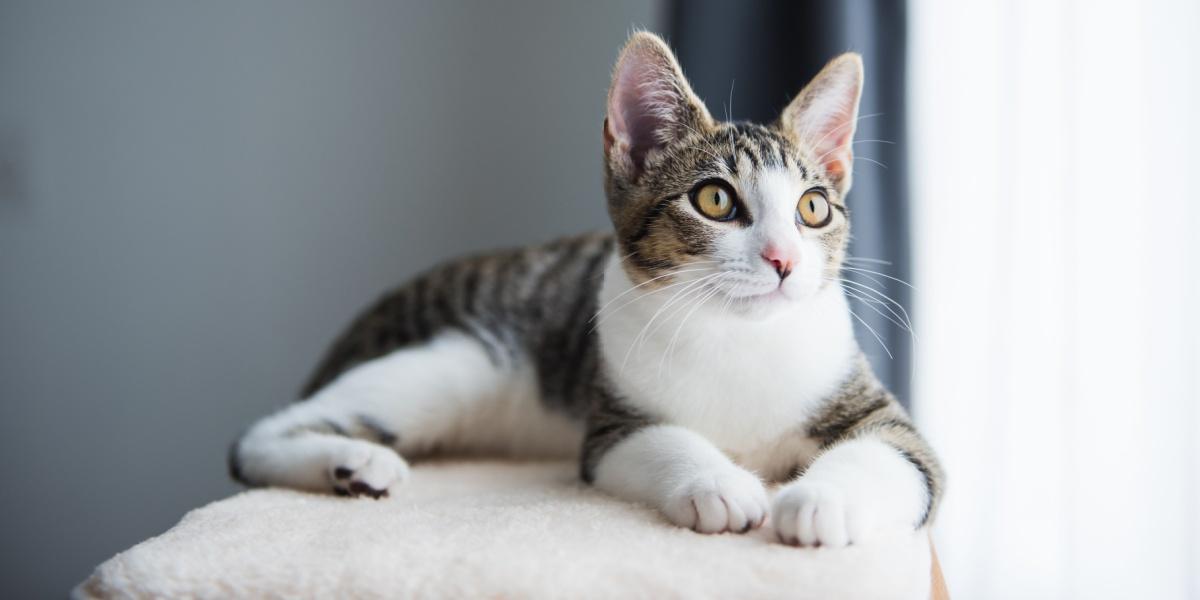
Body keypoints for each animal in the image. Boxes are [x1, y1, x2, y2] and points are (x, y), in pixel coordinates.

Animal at [229, 34, 945, 549]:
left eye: (814, 209)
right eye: (715, 200)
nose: (784, 260)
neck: (737, 336)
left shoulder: (878, 412)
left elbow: (895, 454)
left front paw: (822, 501)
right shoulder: (609, 427)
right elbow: (657, 441)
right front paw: (719, 483)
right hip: (455, 361)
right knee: (256, 437)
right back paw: (353, 461)